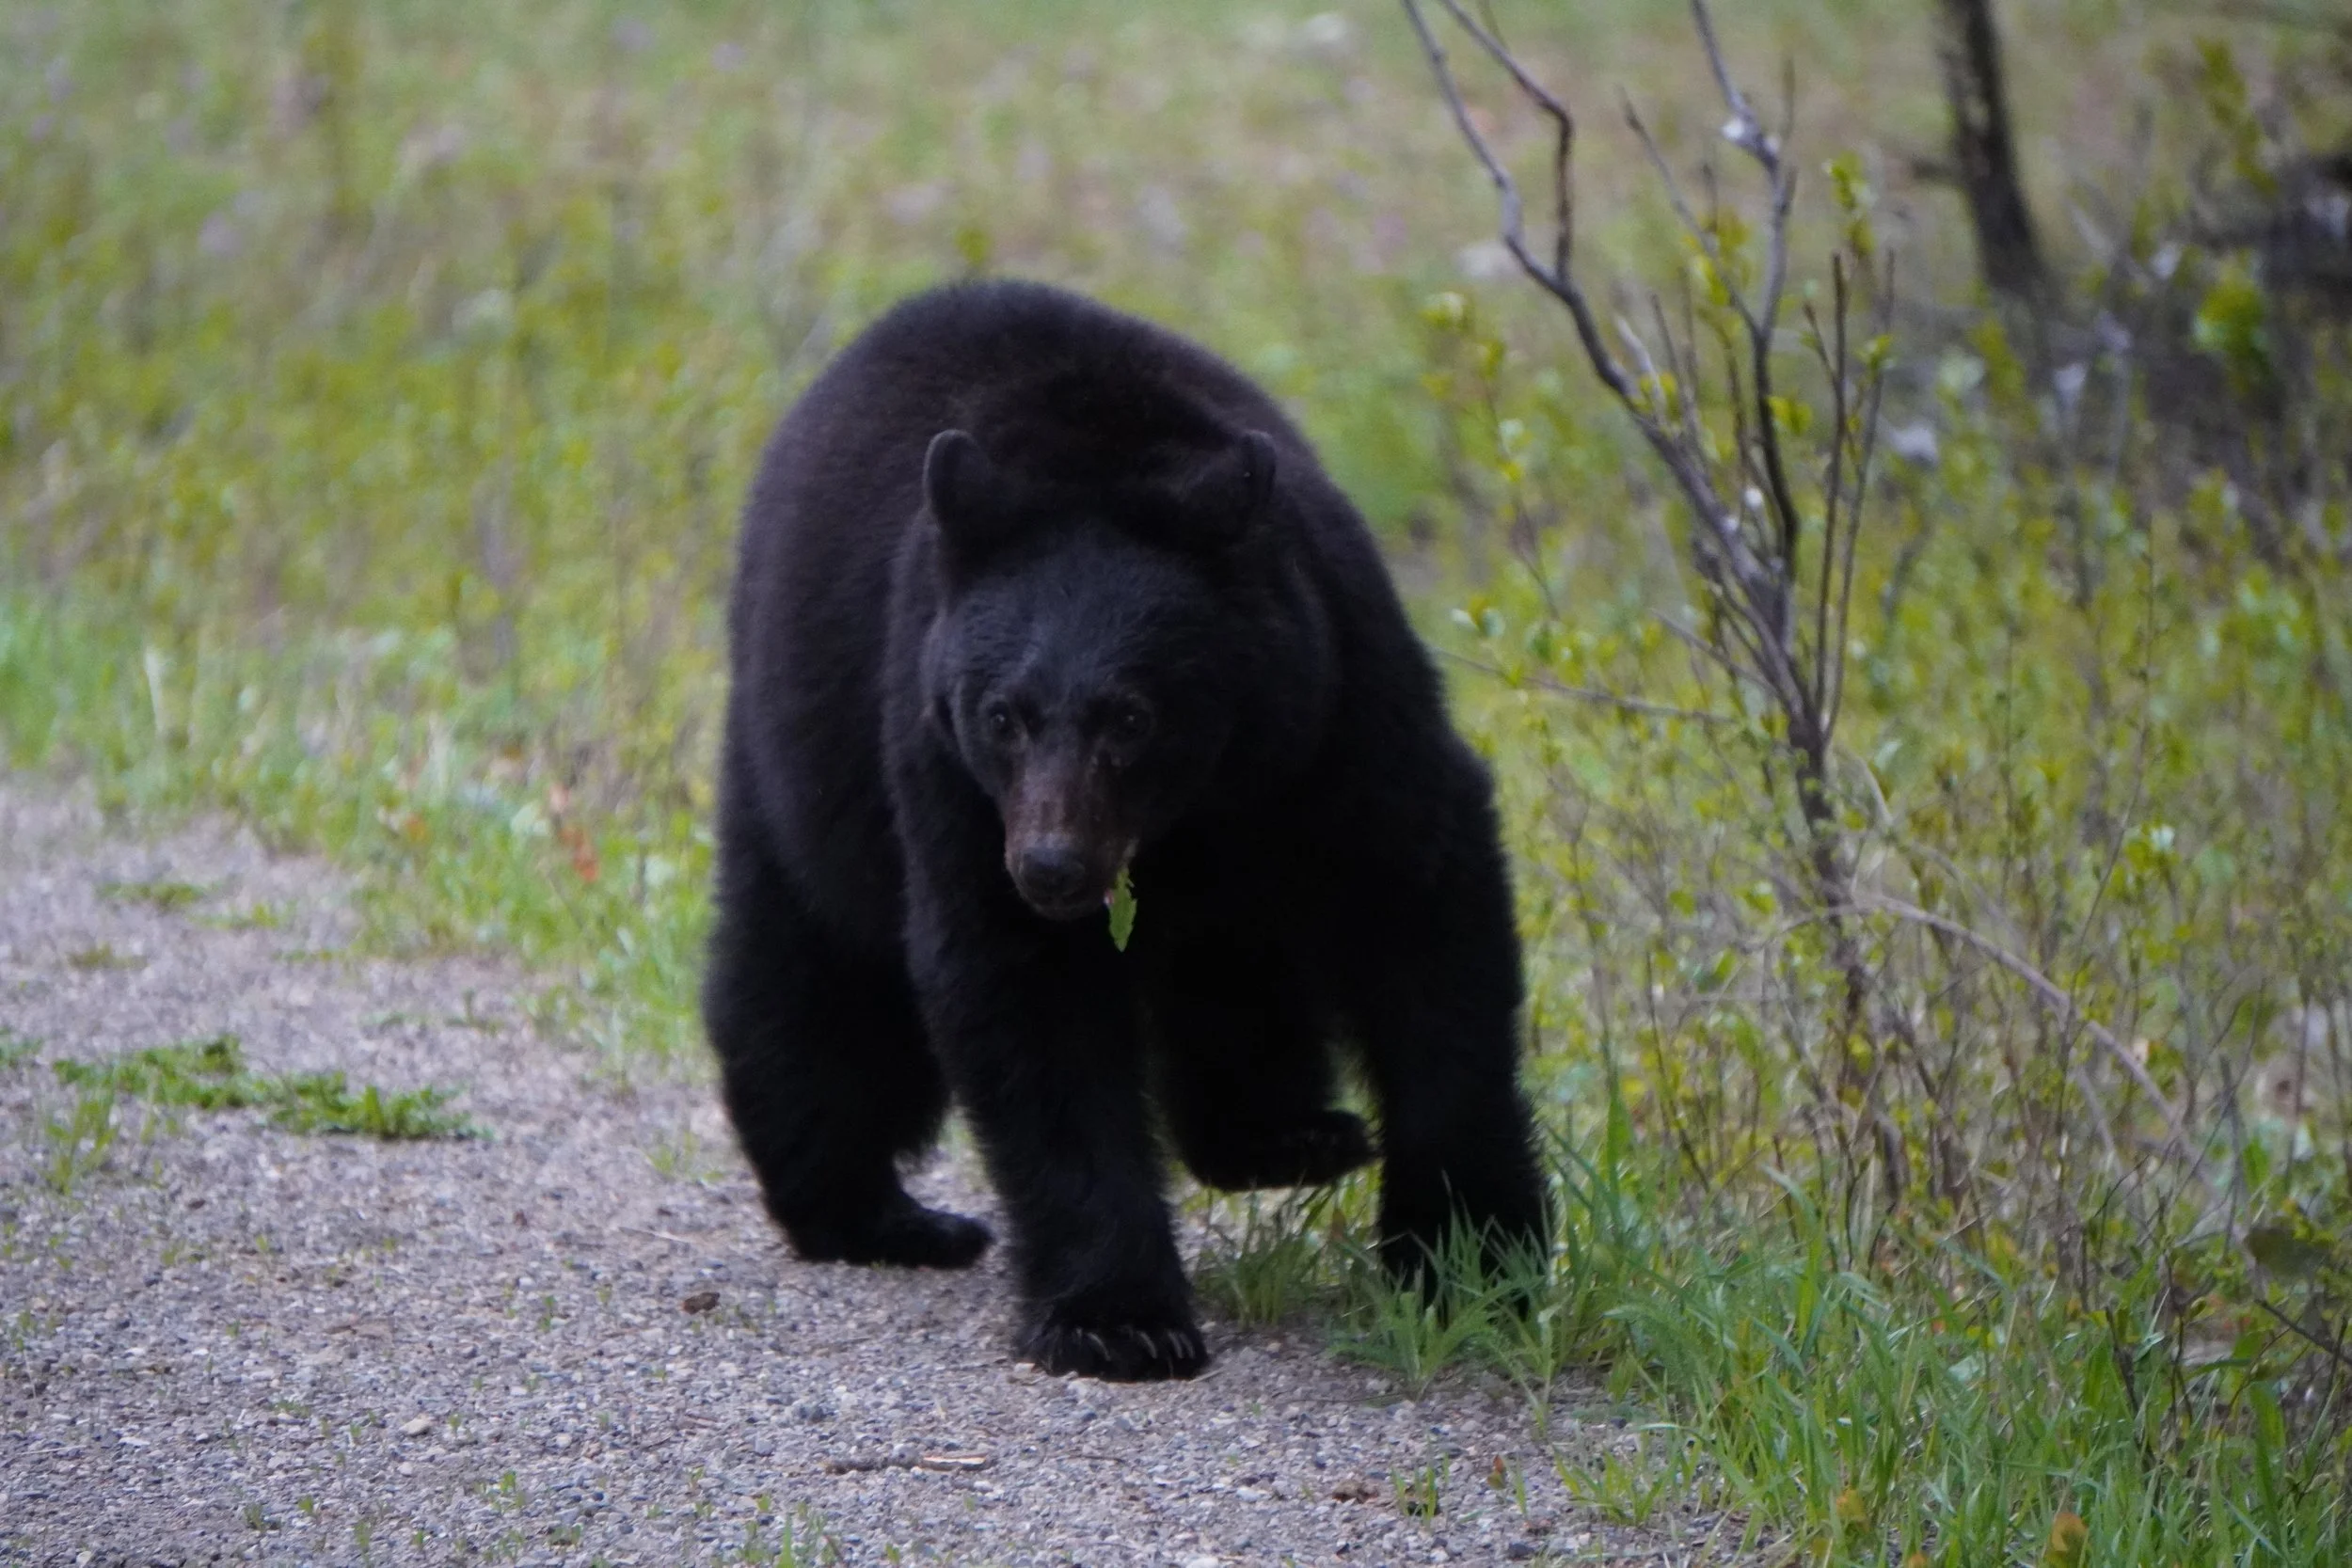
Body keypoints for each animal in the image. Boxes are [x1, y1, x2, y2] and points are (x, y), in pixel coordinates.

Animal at [702, 279, 1545, 1381]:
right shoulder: (947, 777)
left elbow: (1424, 914)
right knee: (810, 977)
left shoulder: (1336, 717)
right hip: (805, 760)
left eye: (1133, 717)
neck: (1188, 811)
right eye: (1004, 715)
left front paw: (1471, 1257)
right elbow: (1028, 1007)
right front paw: (1118, 1318)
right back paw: (875, 1213)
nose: (1053, 867)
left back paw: (1287, 1135)